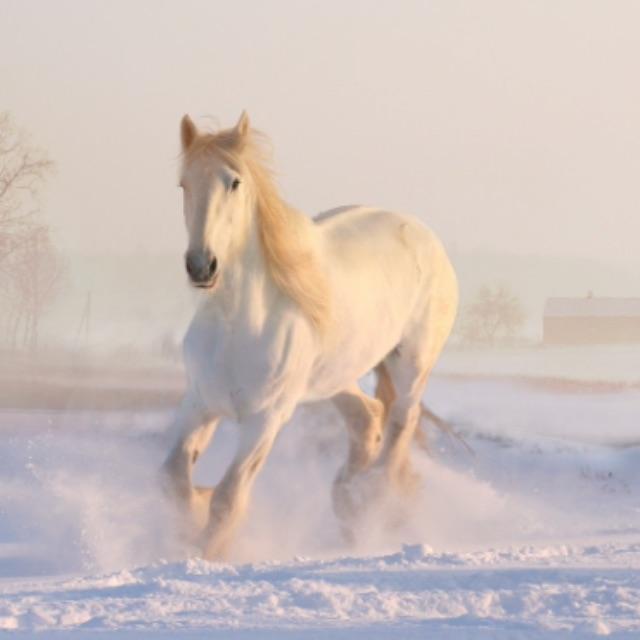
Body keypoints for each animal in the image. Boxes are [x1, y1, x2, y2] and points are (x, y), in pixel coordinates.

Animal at [162, 112, 458, 556]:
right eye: (184, 183)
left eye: (234, 182)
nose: (201, 266)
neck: (237, 326)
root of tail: (423, 234)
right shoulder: (199, 403)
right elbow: (174, 479)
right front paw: (192, 519)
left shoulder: (266, 419)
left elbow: (228, 499)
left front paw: (207, 553)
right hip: (335, 376)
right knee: (367, 417)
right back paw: (348, 500)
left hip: (411, 364)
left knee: (400, 424)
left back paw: (372, 499)